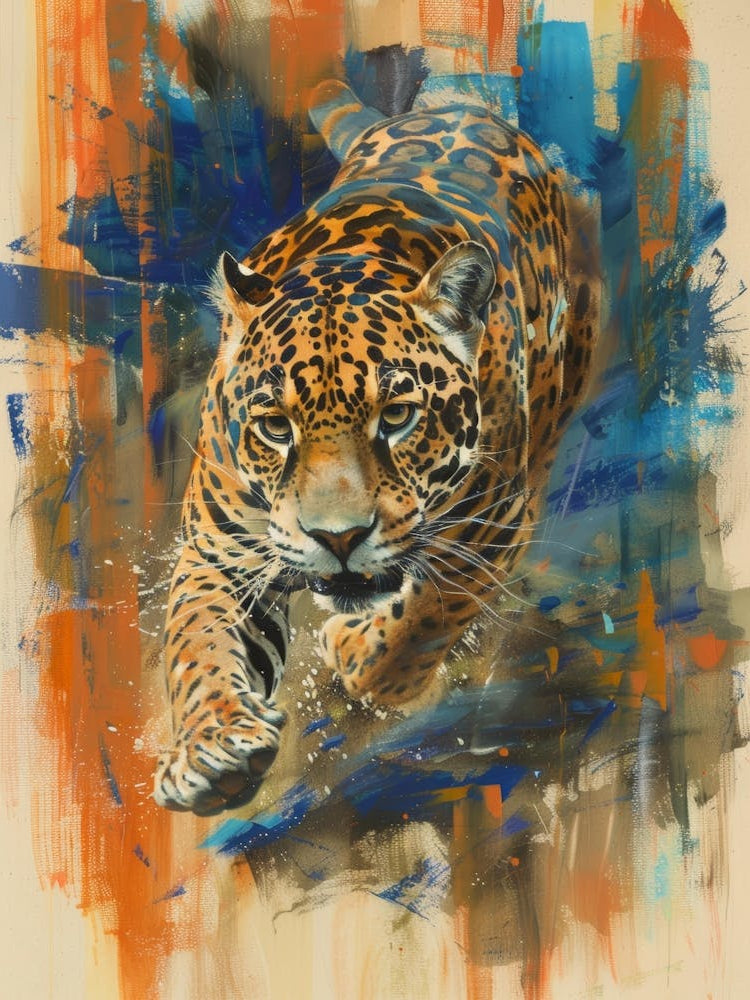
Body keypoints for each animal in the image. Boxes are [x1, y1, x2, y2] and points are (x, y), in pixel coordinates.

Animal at [153, 80, 600, 816]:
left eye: (396, 416)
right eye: (276, 427)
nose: (338, 538)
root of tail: (458, 106)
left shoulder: (491, 524)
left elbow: (427, 615)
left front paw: (357, 653)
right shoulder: (222, 553)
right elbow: (200, 643)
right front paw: (213, 749)